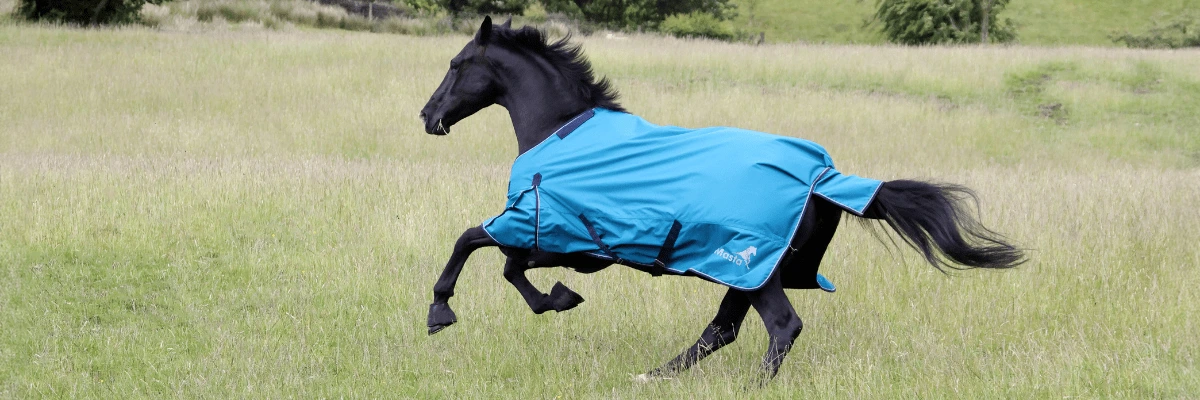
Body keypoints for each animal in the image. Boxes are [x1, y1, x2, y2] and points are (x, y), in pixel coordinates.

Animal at [418, 16, 1025, 382]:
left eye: (455, 65)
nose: (428, 116)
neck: (560, 131)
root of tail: (821, 177)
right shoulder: (562, 243)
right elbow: (507, 266)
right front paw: (558, 299)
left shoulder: (541, 229)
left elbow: (476, 246)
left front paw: (442, 311)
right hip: (746, 272)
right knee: (722, 330)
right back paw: (654, 376)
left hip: (754, 269)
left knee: (781, 327)